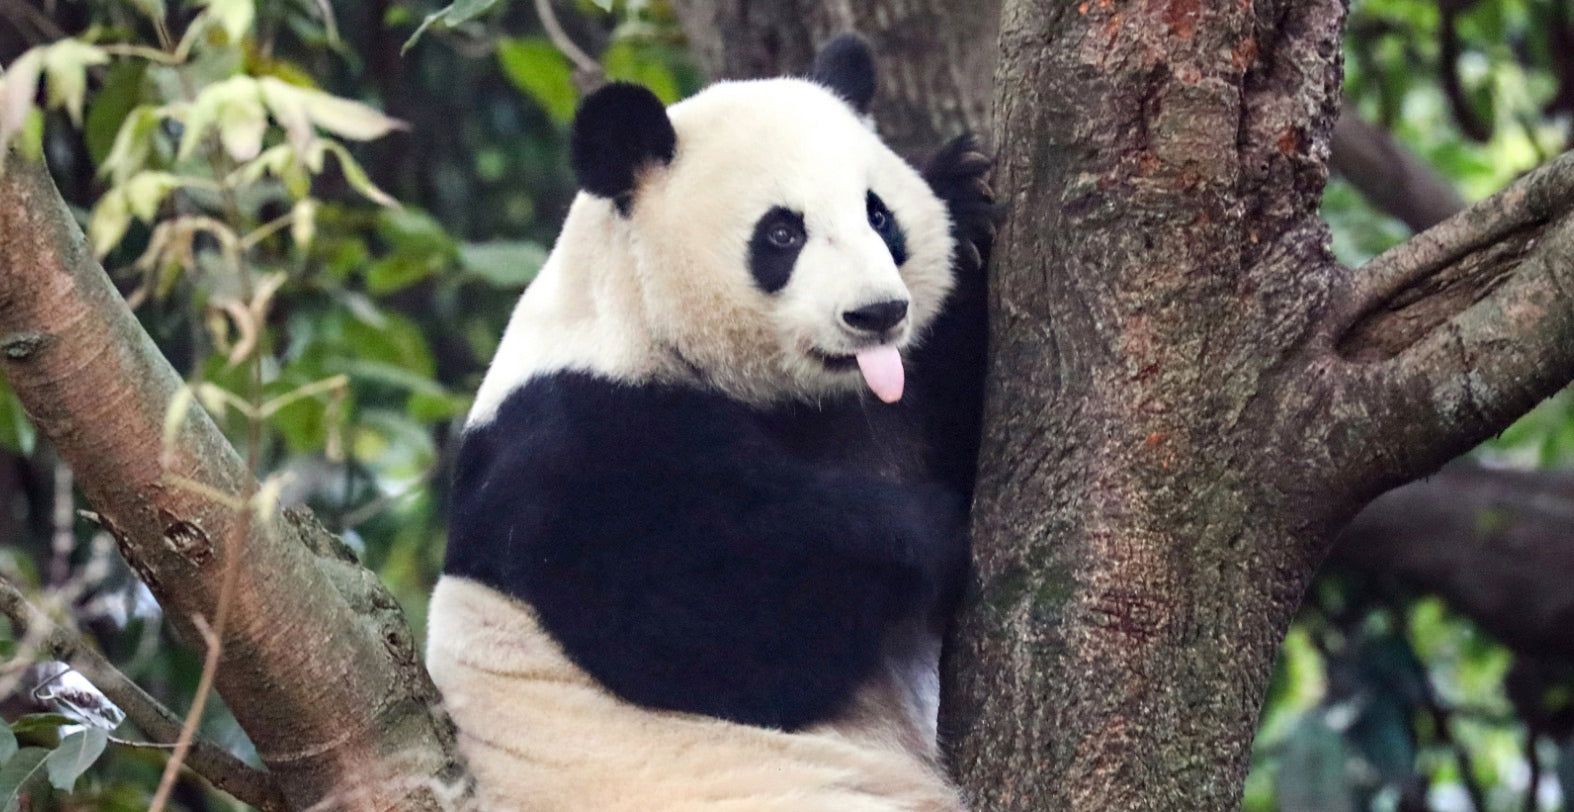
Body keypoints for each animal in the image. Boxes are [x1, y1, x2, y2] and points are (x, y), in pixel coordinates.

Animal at [426, 34, 994, 812]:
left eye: (879, 216)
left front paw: (968, 201)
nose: (877, 313)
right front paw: (927, 533)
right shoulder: (567, 444)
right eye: (782, 232)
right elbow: (713, 627)